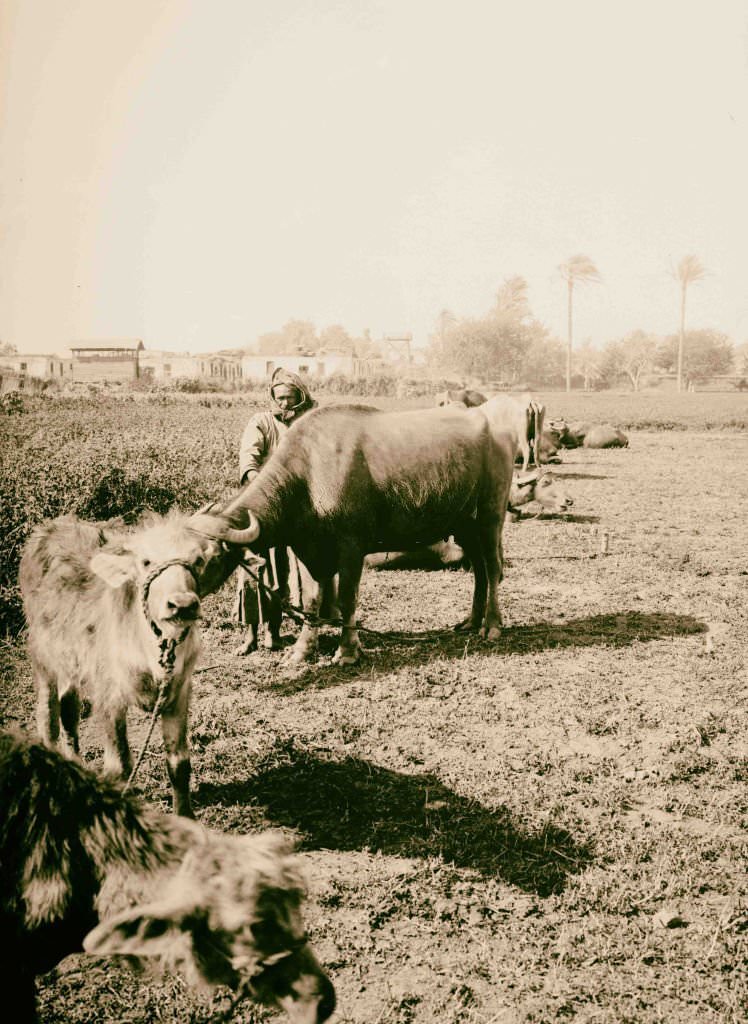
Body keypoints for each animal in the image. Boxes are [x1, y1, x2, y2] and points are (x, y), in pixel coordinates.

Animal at [19, 509, 241, 815]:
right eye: (146, 561)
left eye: (197, 561)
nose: (182, 605)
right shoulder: (110, 696)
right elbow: (120, 767)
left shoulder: (179, 692)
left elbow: (179, 763)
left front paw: (185, 816)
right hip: (43, 658)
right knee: (48, 717)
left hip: (71, 663)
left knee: (69, 707)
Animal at [189, 399, 516, 663]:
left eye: (208, 559)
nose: (181, 600)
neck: (308, 475)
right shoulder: (308, 549)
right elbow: (312, 600)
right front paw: (302, 650)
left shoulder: (351, 547)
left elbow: (347, 598)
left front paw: (347, 651)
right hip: (463, 524)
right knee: (479, 570)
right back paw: (471, 621)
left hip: (490, 514)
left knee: (492, 566)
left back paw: (492, 625)